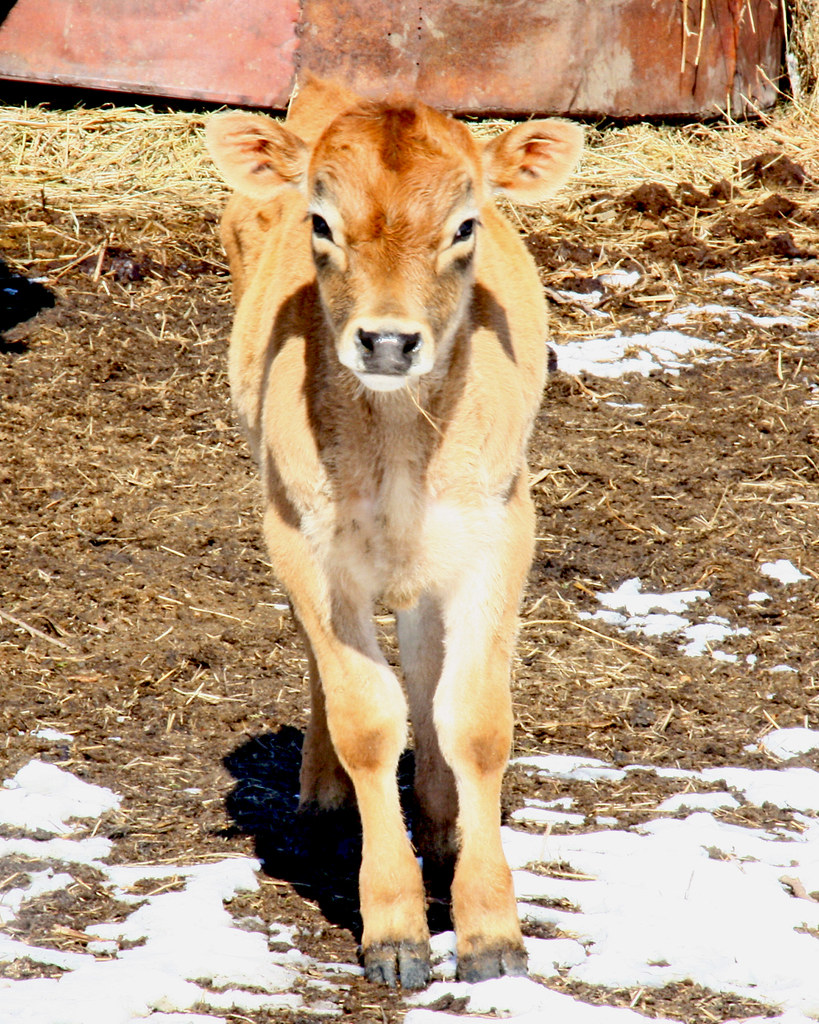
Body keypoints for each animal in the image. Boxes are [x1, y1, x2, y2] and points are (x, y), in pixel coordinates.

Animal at [206, 76, 582, 989]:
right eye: (320, 221)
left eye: (465, 224)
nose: (385, 339)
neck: (400, 451)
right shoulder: (301, 539)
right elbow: (367, 720)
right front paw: (396, 930)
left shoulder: (501, 530)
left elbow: (472, 718)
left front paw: (489, 929)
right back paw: (323, 791)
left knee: (423, 660)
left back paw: (443, 821)